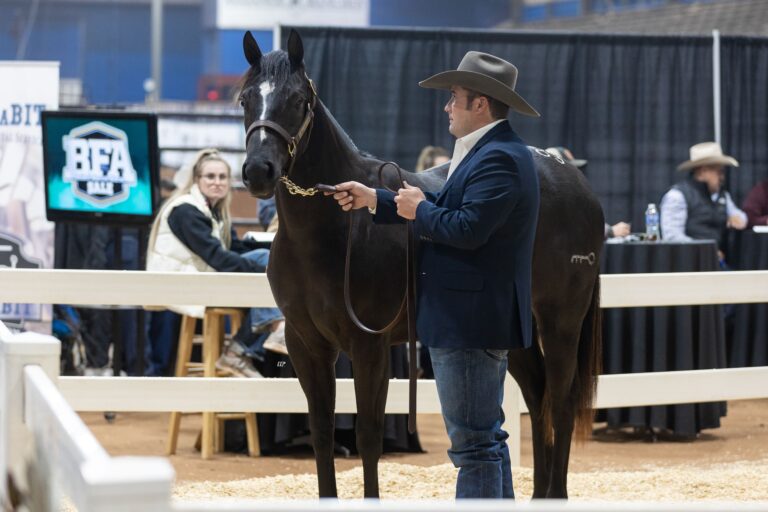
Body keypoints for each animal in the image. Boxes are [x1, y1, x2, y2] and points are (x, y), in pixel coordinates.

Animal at [239, 29, 604, 499]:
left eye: (299, 99)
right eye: (246, 98)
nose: (258, 171)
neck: (334, 230)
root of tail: (576, 181)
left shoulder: (369, 345)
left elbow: (368, 437)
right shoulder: (306, 344)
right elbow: (321, 433)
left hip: (561, 320)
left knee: (560, 402)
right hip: (513, 329)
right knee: (539, 397)